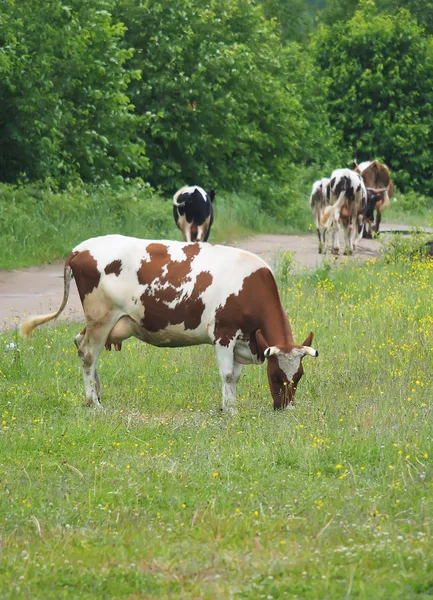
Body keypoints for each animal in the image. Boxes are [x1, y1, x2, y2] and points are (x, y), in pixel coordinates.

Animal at [20, 234, 318, 412]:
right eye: (275, 376)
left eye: (298, 376)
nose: (286, 408)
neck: (250, 286)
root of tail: (80, 248)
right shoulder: (223, 334)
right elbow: (227, 374)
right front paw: (228, 411)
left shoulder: (243, 340)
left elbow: (235, 377)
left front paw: (230, 407)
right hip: (100, 317)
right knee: (88, 354)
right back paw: (93, 402)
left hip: (106, 322)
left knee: (79, 342)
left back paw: (98, 394)